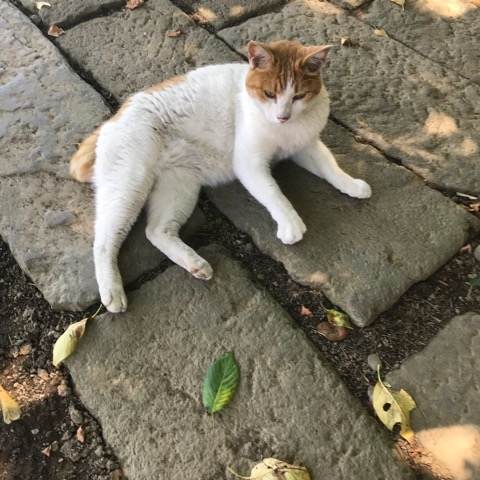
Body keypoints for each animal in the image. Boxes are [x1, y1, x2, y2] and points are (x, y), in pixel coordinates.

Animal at [70, 40, 372, 312]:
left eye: (298, 96)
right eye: (270, 94)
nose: (283, 116)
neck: (285, 130)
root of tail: (115, 116)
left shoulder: (306, 147)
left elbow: (330, 167)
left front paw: (352, 185)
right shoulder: (249, 164)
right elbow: (275, 195)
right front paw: (291, 223)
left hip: (178, 188)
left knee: (156, 231)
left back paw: (195, 264)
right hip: (129, 187)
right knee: (103, 241)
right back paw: (112, 292)